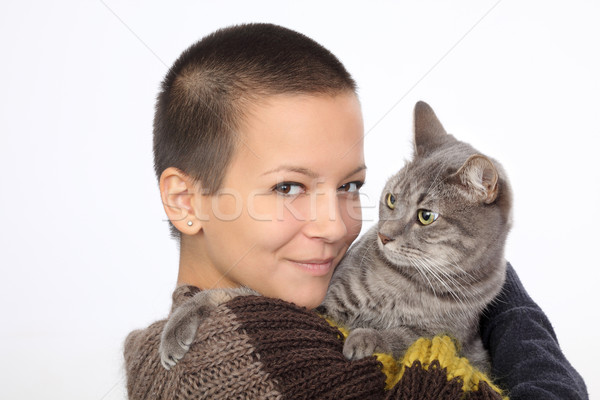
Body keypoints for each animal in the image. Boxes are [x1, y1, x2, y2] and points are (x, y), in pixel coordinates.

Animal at [158, 101, 510, 372]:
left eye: (426, 216)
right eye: (391, 199)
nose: (384, 236)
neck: (403, 282)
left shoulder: (451, 338)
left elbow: (406, 338)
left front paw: (366, 337)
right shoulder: (325, 304)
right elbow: (234, 294)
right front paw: (180, 320)